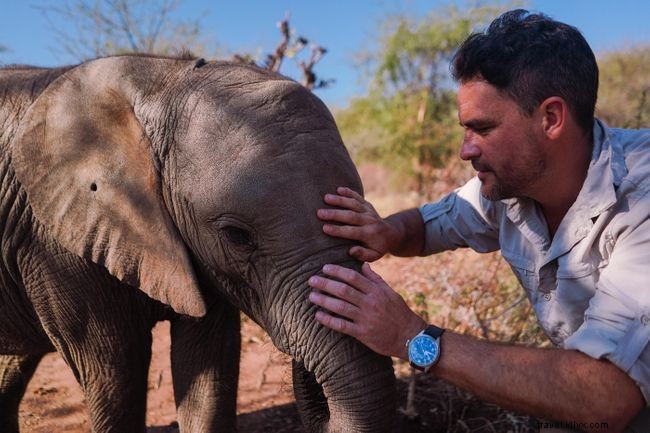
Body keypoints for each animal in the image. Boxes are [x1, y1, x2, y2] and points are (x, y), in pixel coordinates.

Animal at [0, 55, 396, 433]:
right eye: (237, 236)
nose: (312, 386)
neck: (162, 81)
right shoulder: (57, 249)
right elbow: (115, 377)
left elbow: (209, 371)